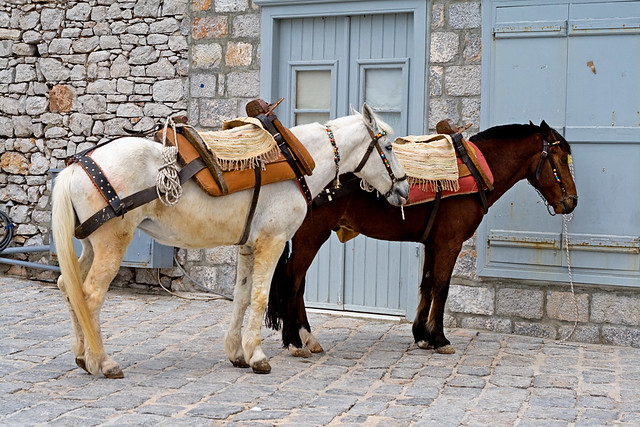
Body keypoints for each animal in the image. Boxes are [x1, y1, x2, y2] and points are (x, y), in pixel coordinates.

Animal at [51, 103, 409, 378]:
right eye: (389, 147)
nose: (404, 189)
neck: (296, 160)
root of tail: (79, 166)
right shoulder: (272, 243)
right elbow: (261, 298)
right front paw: (258, 356)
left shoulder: (248, 247)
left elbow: (241, 297)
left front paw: (238, 353)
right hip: (112, 243)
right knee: (91, 295)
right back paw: (102, 361)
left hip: (91, 245)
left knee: (69, 288)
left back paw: (82, 355)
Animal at [266, 120, 578, 357]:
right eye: (561, 159)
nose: (572, 202)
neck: (473, 168)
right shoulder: (450, 243)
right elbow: (441, 287)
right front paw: (439, 338)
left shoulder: (432, 243)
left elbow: (427, 284)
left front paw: (422, 335)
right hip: (311, 235)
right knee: (292, 280)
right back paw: (295, 340)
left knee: (298, 283)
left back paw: (306, 337)